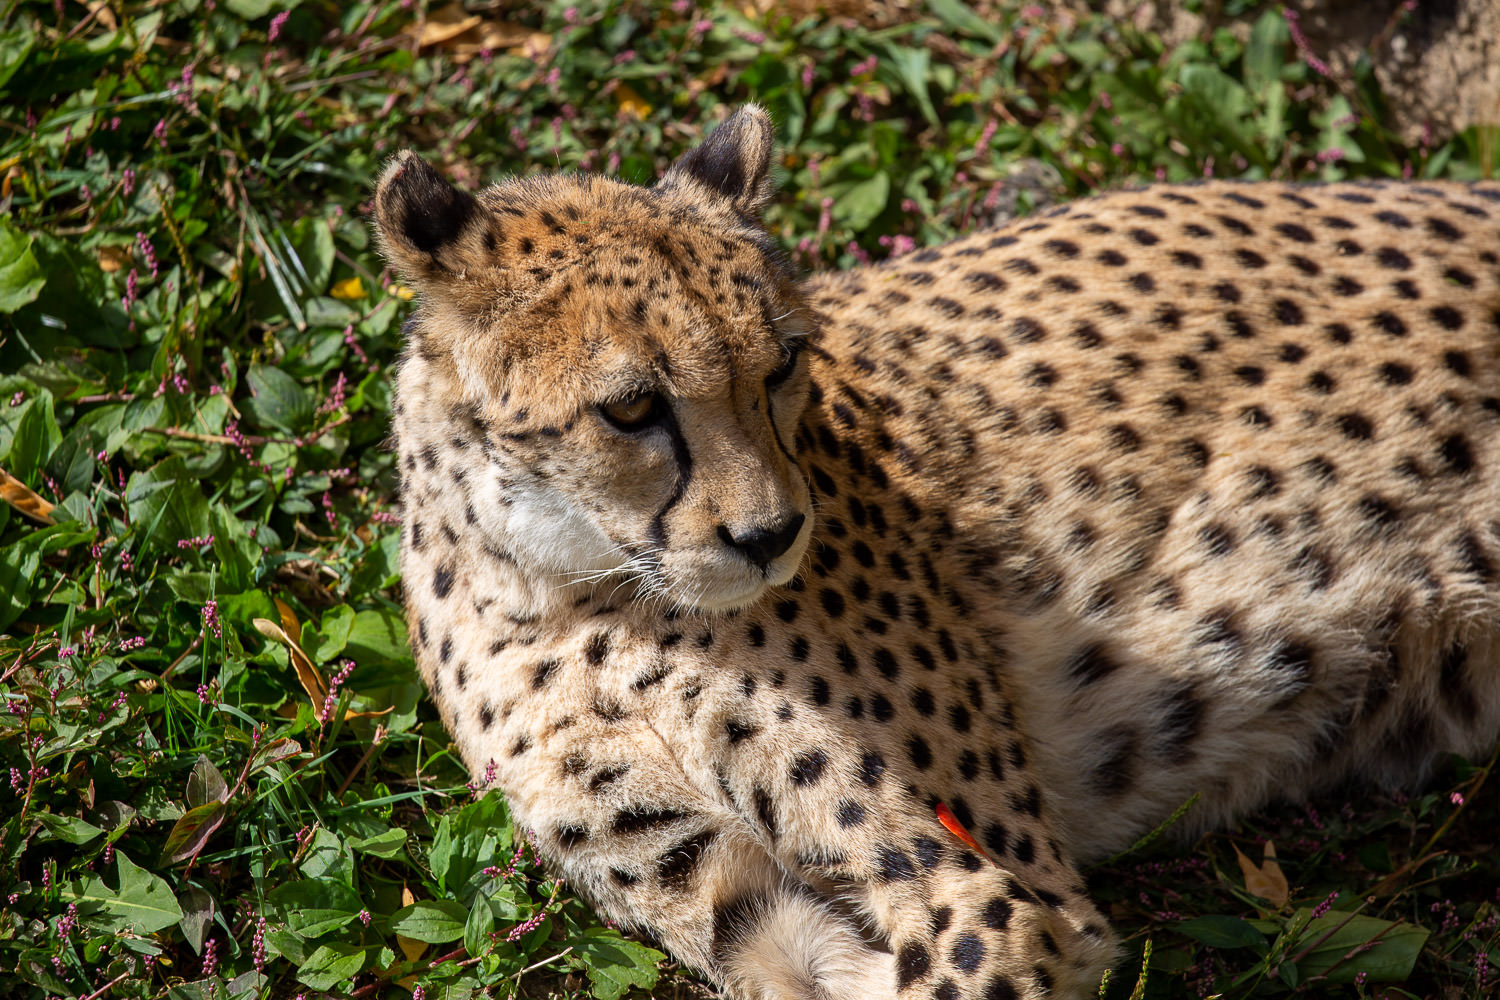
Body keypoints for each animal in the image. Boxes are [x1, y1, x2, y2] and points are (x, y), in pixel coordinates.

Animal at [374, 105, 1500, 999]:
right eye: (631, 407)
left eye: (781, 363)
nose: (771, 536)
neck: (559, 590)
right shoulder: (738, 899)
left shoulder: (1007, 899)